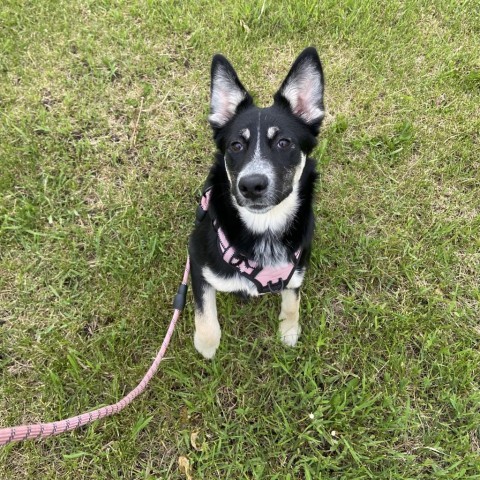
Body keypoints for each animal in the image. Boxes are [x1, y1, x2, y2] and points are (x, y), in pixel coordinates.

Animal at [189, 47, 324, 358]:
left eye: (284, 142)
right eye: (236, 145)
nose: (251, 185)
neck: (265, 226)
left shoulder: (297, 270)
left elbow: (292, 301)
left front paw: (289, 331)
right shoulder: (197, 260)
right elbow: (205, 311)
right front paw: (206, 344)